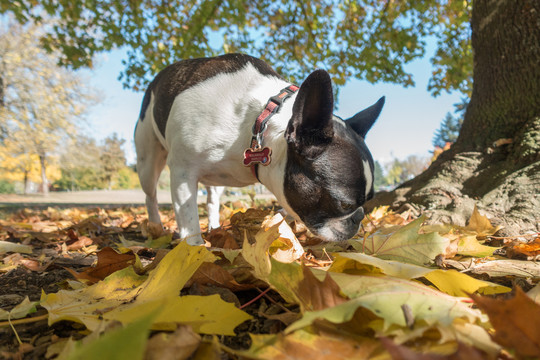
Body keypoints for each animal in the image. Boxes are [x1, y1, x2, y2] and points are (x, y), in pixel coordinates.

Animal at [137, 52, 386, 245]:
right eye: (344, 204)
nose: (359, 217)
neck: (258, 123)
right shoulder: (183, 172)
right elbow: (188, 219)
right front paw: (195, 250)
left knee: (212, 199)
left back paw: (214, 226)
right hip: (147, 161)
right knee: (150, 195)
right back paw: (156, 227)